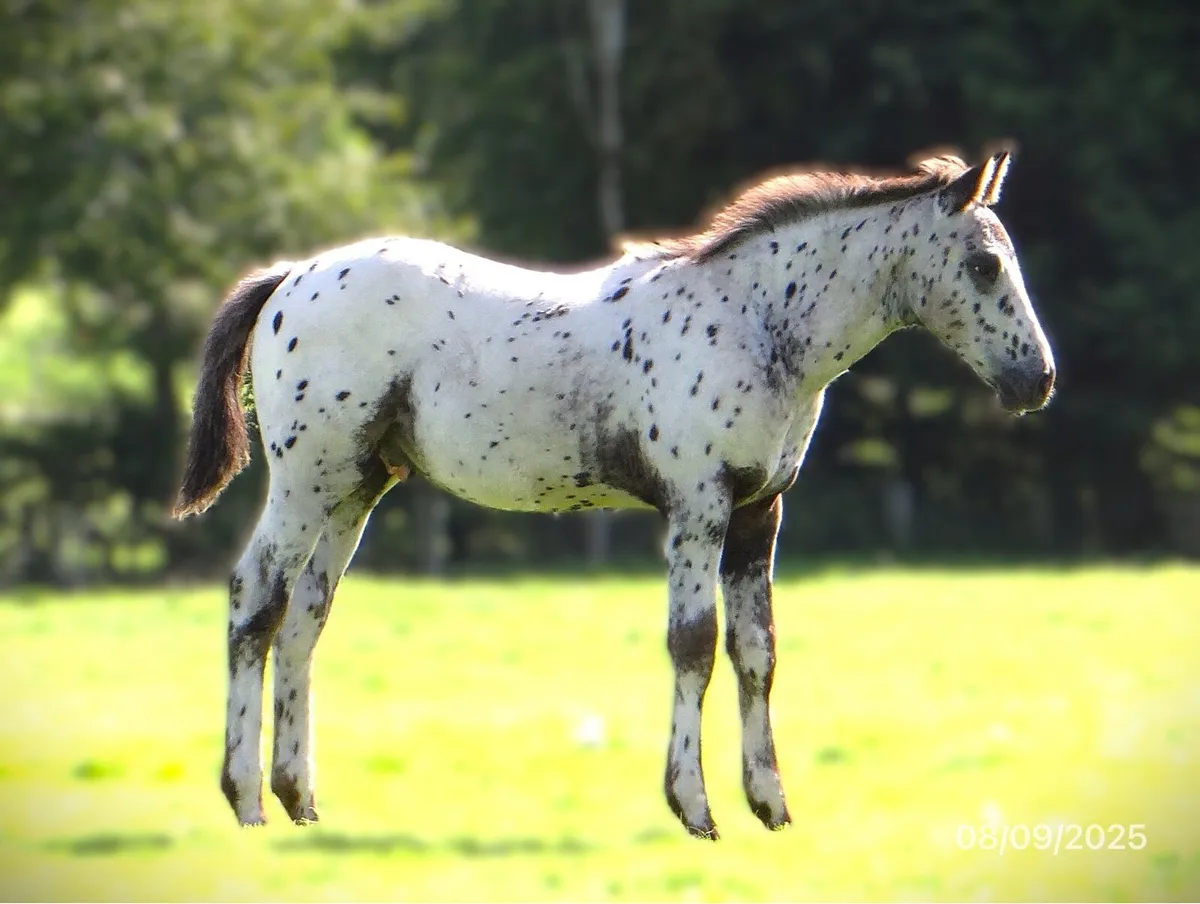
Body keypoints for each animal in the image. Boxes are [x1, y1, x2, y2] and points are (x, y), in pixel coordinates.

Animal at [173, 147, 1056, 840]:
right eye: (985, 265)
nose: (1037, 379)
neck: (754, 322)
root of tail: (291, 277)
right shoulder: (698, 505)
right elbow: (694, 644)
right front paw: (694, 808)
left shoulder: (759, 511)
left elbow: (758, 651)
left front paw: (770, 804)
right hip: (305, 479)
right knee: (256, 597)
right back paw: (246, 800)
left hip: (355, 487)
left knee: (306, 618)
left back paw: (299, 797)